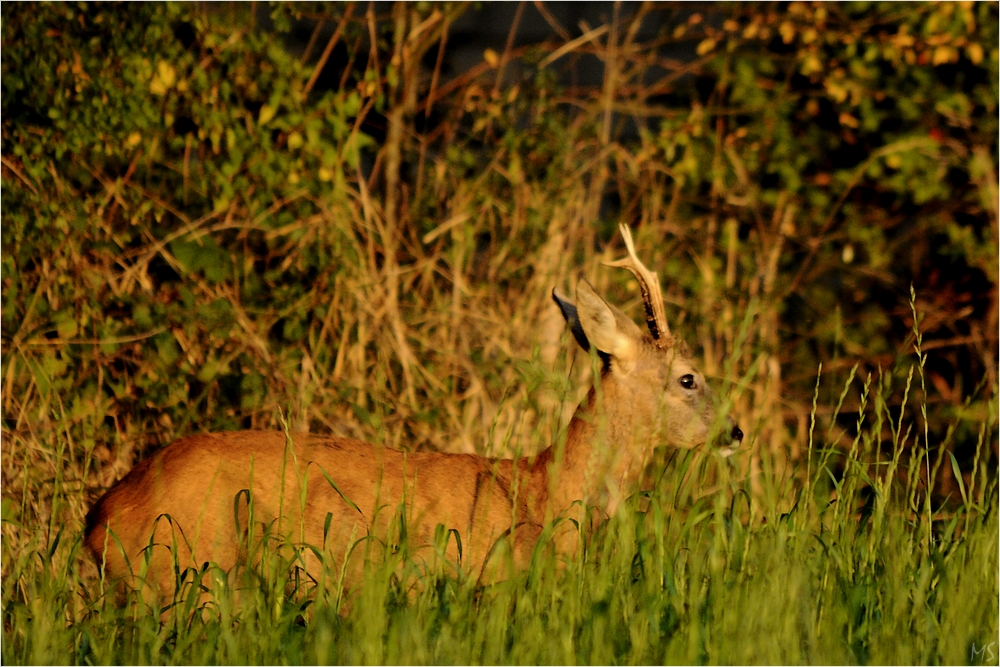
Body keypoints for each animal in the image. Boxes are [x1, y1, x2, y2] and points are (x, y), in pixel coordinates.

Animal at [86, 226, 744, 604]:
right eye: (688, 377)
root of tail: (100, 518)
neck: (546, 495)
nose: (736, 431)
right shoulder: (486, 583)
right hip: (187, 571)